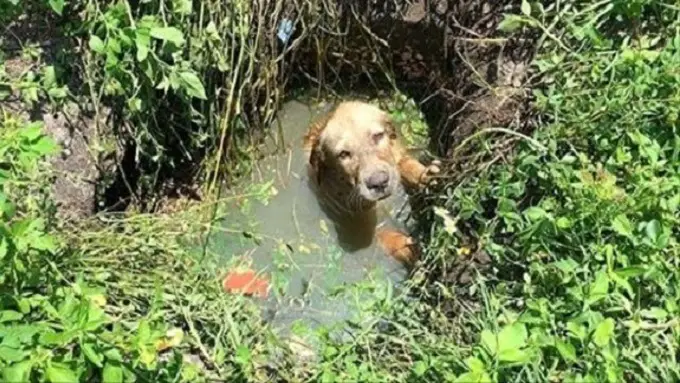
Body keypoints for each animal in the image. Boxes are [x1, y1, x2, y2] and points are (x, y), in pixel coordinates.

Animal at [302, 100, 440, 266]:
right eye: (343, 154)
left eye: (378, 136)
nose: (379, 183)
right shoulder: (358, 223)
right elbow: (386, 235)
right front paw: (411, 248)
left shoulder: (397, 155)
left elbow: (406, 165)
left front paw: (426, 174)